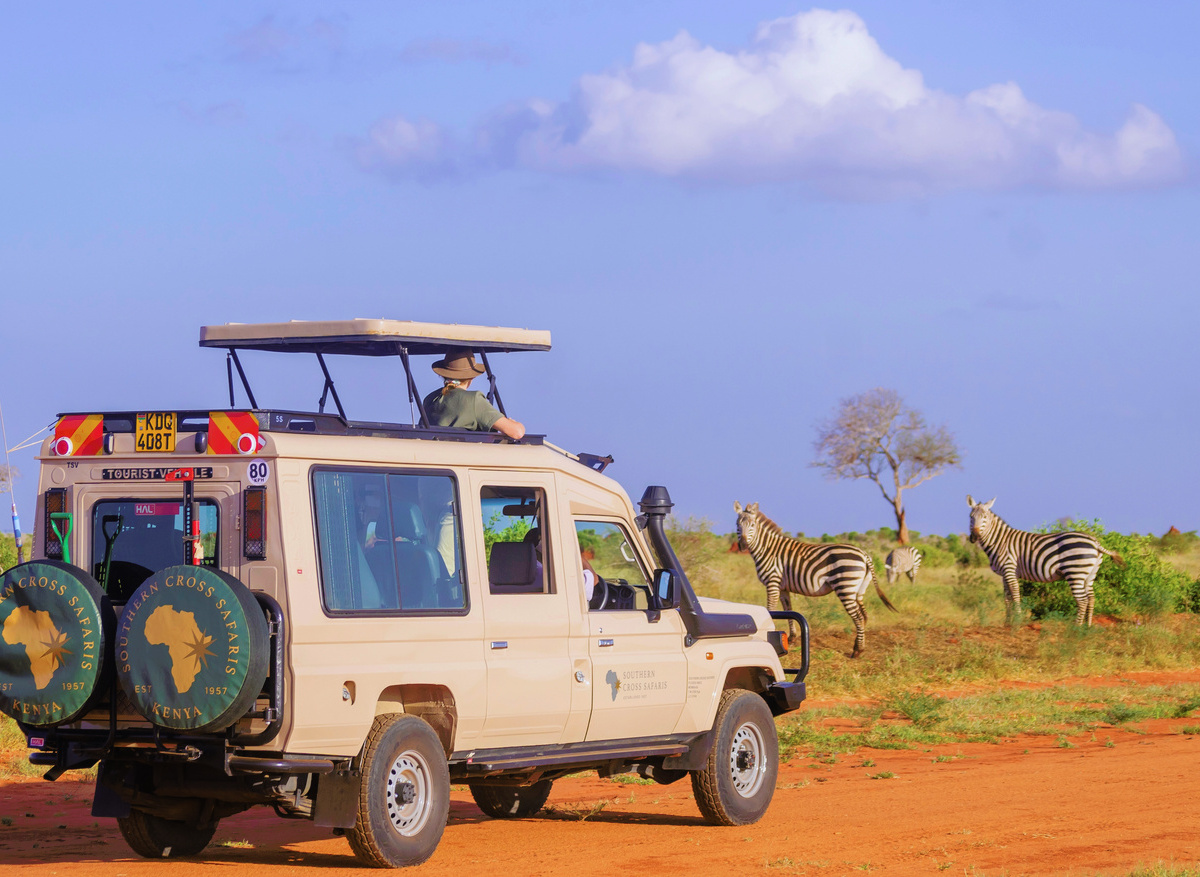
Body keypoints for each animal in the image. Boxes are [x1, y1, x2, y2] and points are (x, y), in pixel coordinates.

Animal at [734, 501, 897, 658]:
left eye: (752, 525)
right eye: (737, 525)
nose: (743, 545)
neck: (767, 549)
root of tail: (864, 554)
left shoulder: (772, 581)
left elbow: (771, 609)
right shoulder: (783, 587)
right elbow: (788, 609)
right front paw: (792, 638)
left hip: (845, 586)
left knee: (858, 617)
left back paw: (857, 651)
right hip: (858, 589)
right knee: (864, 615)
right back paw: (858, 646)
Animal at [966, 495, 1125, 626]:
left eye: (984, 517)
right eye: (971, 517)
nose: (974, 537)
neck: (1000, 542)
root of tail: (1095, 542)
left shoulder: (1010, 569)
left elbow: (1015, 595)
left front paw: (1017, 621)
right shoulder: (1004, 574)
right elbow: (1007, 598)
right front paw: (1007, 622)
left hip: (1075, 572)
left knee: (1082, 600)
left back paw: (1076, 628)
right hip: (1089, 574)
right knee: (1091, 598)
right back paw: (1088, 626)